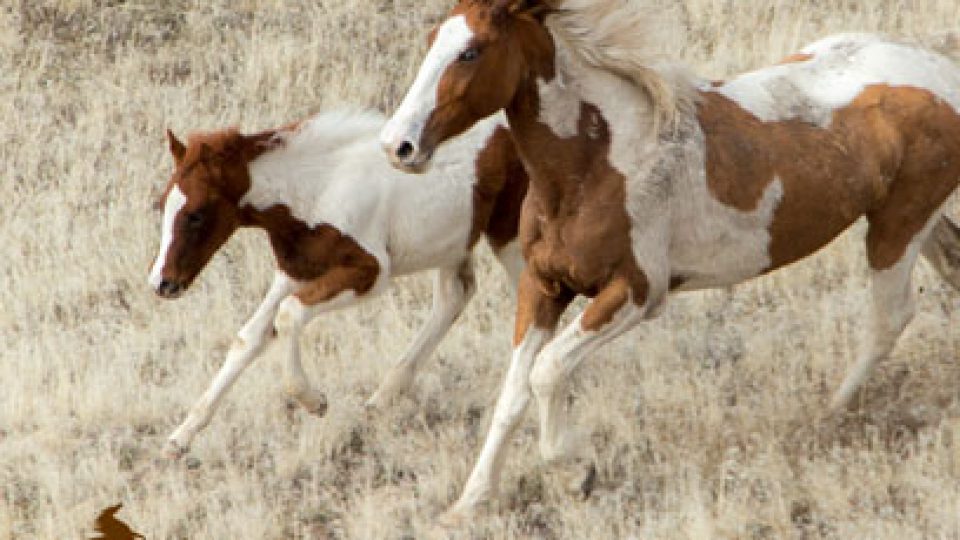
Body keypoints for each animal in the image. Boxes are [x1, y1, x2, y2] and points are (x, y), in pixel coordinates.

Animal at [149, 109, 527, 457]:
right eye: (161, 204)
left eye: (196, 214)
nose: (161, 283)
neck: (319, 188)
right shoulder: (297, 270)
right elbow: (250, 337)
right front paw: (180, 437)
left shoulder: (370, 272)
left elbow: (288, 315)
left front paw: (313, 400)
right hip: (455, 242)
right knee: (456, 296)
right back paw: (382, 398)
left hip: (510, 236)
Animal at [379, 0, 960, 516]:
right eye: (432, 40)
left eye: (471, 51)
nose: (397, 146)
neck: (598, 162)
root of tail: (940, 72)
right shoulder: (542, 286)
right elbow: (513, 392)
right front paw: (469, 503)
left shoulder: (637, 292)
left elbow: (547, 371)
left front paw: (577, 467)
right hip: (919, 224)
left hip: (898, 225)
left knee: (889, 318)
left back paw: (830, 412)